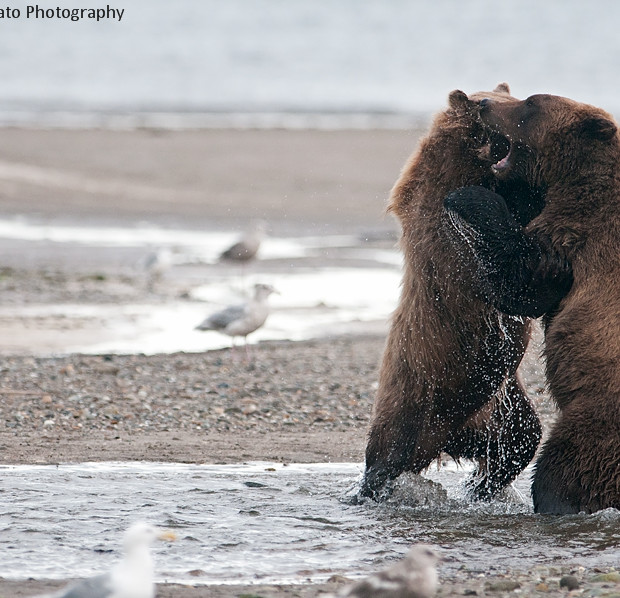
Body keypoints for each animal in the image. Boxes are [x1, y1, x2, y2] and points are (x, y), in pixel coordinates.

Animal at [358, 84, 544, 504]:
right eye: (488, 104)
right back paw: (370, 488)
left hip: (496, 406)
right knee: (388, 450)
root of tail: (442, 440)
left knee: (523, 436)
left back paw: (482, 485)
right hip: (416, 390)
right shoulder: (445, 220)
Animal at [444, 94, 620, 516]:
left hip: (596, 422)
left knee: (562, 467)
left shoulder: (580, 232)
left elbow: (523, 284)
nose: (484, 102)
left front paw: (472, 197)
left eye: (529, 105)